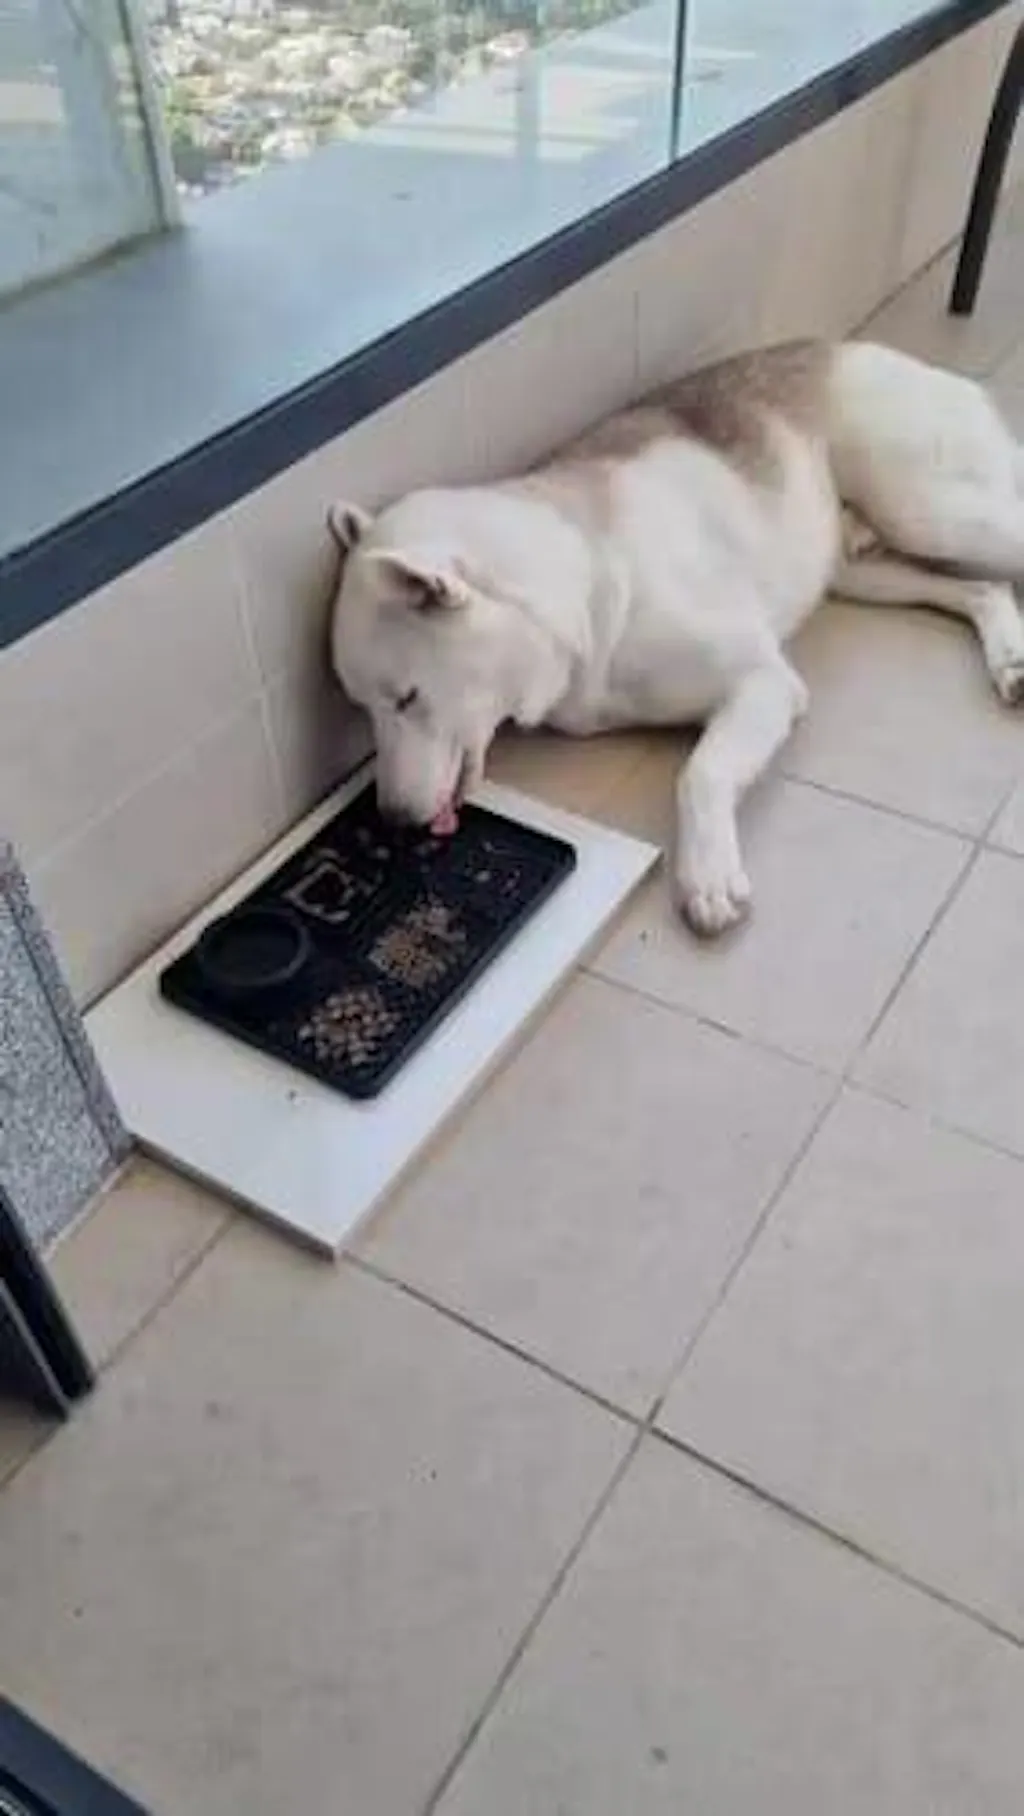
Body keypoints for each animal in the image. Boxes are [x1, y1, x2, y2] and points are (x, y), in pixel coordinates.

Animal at [328, 340, 1024, 935]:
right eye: (363, 711)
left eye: (407, 699)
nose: (392, 824)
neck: (583, 584)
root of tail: (863, 348)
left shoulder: (763, 683)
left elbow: (700, 772)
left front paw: (707, 875)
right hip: (863, 570)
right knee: (984, 589)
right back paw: (1010, 656)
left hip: (931, 512)